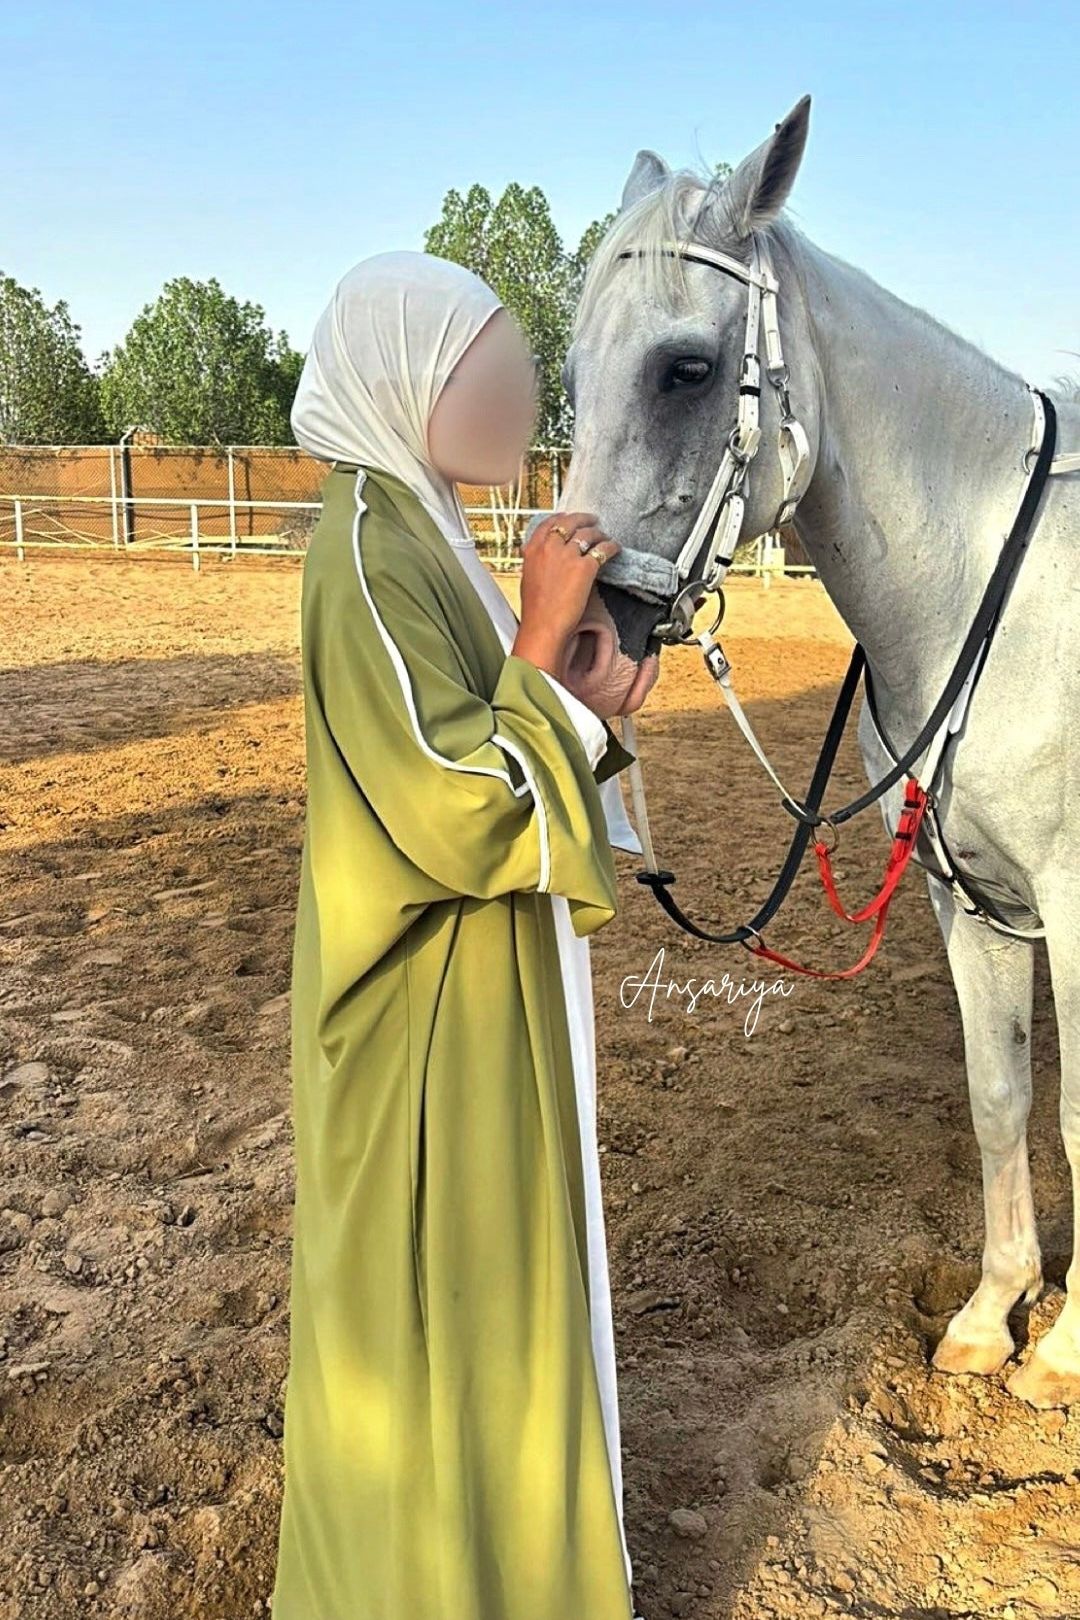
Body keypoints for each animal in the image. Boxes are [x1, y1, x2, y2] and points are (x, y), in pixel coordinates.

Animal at [550, 91, 1080, 1406]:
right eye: (573, 375)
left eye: (687, 367)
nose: (582, 635)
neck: (1003, 605)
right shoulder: (970, 899)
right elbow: (1002, 1096)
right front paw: (995, 1318)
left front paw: (1064, 1354)